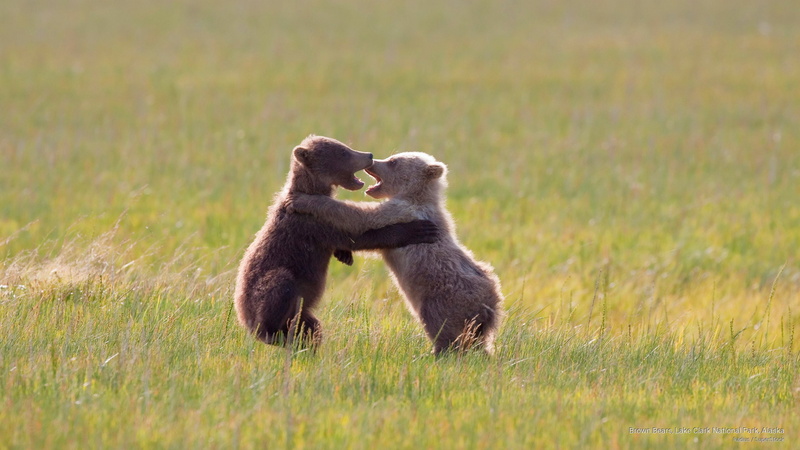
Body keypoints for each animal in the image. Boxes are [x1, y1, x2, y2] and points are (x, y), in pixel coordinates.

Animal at [234, 137, 439, 349]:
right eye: (343, 152)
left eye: (345, 146)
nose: (369, 155)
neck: (312, 189)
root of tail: (241, 315)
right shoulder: (311, 224)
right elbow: (358, 235)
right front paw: (416, 230)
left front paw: (344, 255)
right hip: (262, 294)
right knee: (280, 283)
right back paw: (272, 332)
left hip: (301, 312)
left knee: (310, 326)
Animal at [291, 152, 504, 355]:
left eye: (393, 161)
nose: (372, 161)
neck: (415, 196)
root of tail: (490, 301)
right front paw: (344, 253)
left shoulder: (400, 211)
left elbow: (359, 217)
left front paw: (303, 200)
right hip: (480, 317)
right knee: (478, 341)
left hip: (444, 299)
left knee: (442, 327)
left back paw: (437, 352)